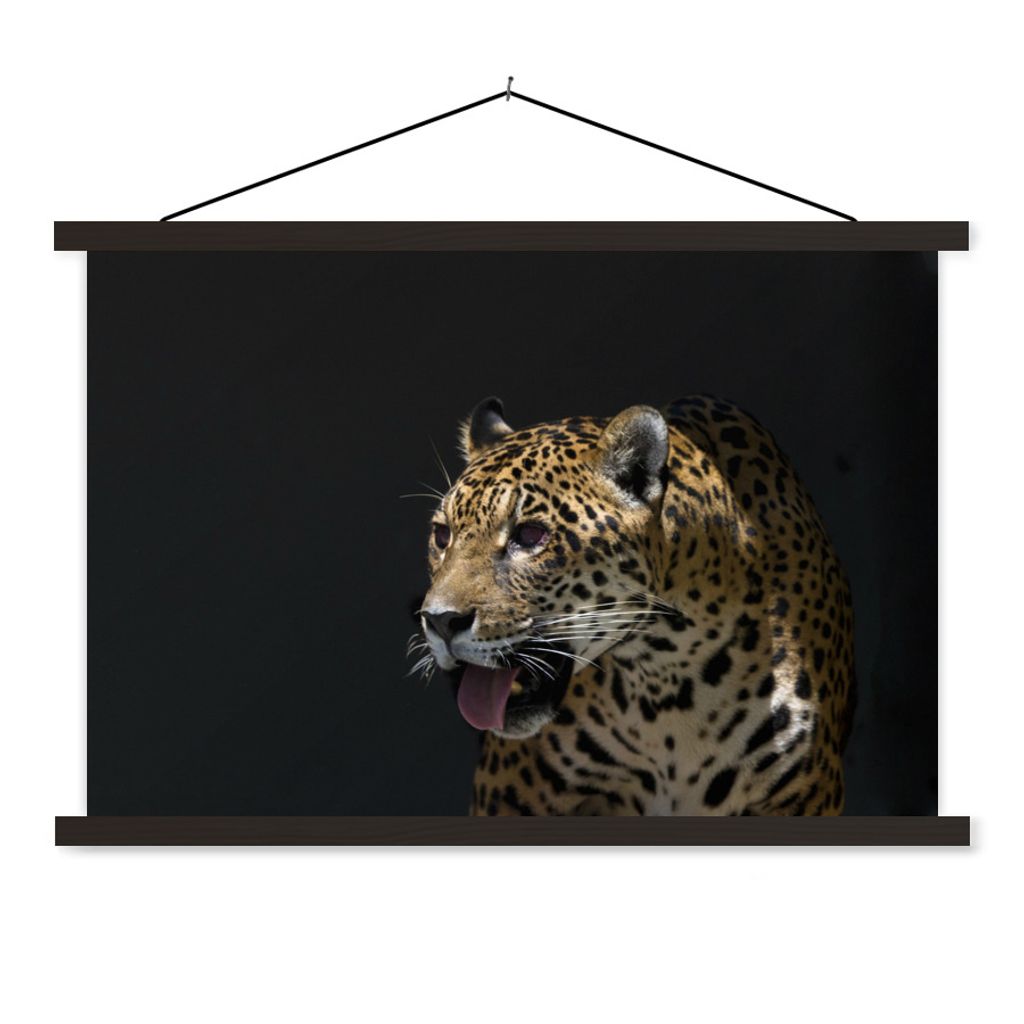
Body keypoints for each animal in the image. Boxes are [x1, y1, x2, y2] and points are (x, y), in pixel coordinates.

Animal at [413, 395, 855, 815]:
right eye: (442, 534)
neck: (668, 680)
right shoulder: (507, 792)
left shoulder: (805, 792)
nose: (440, 621)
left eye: (531, 534)